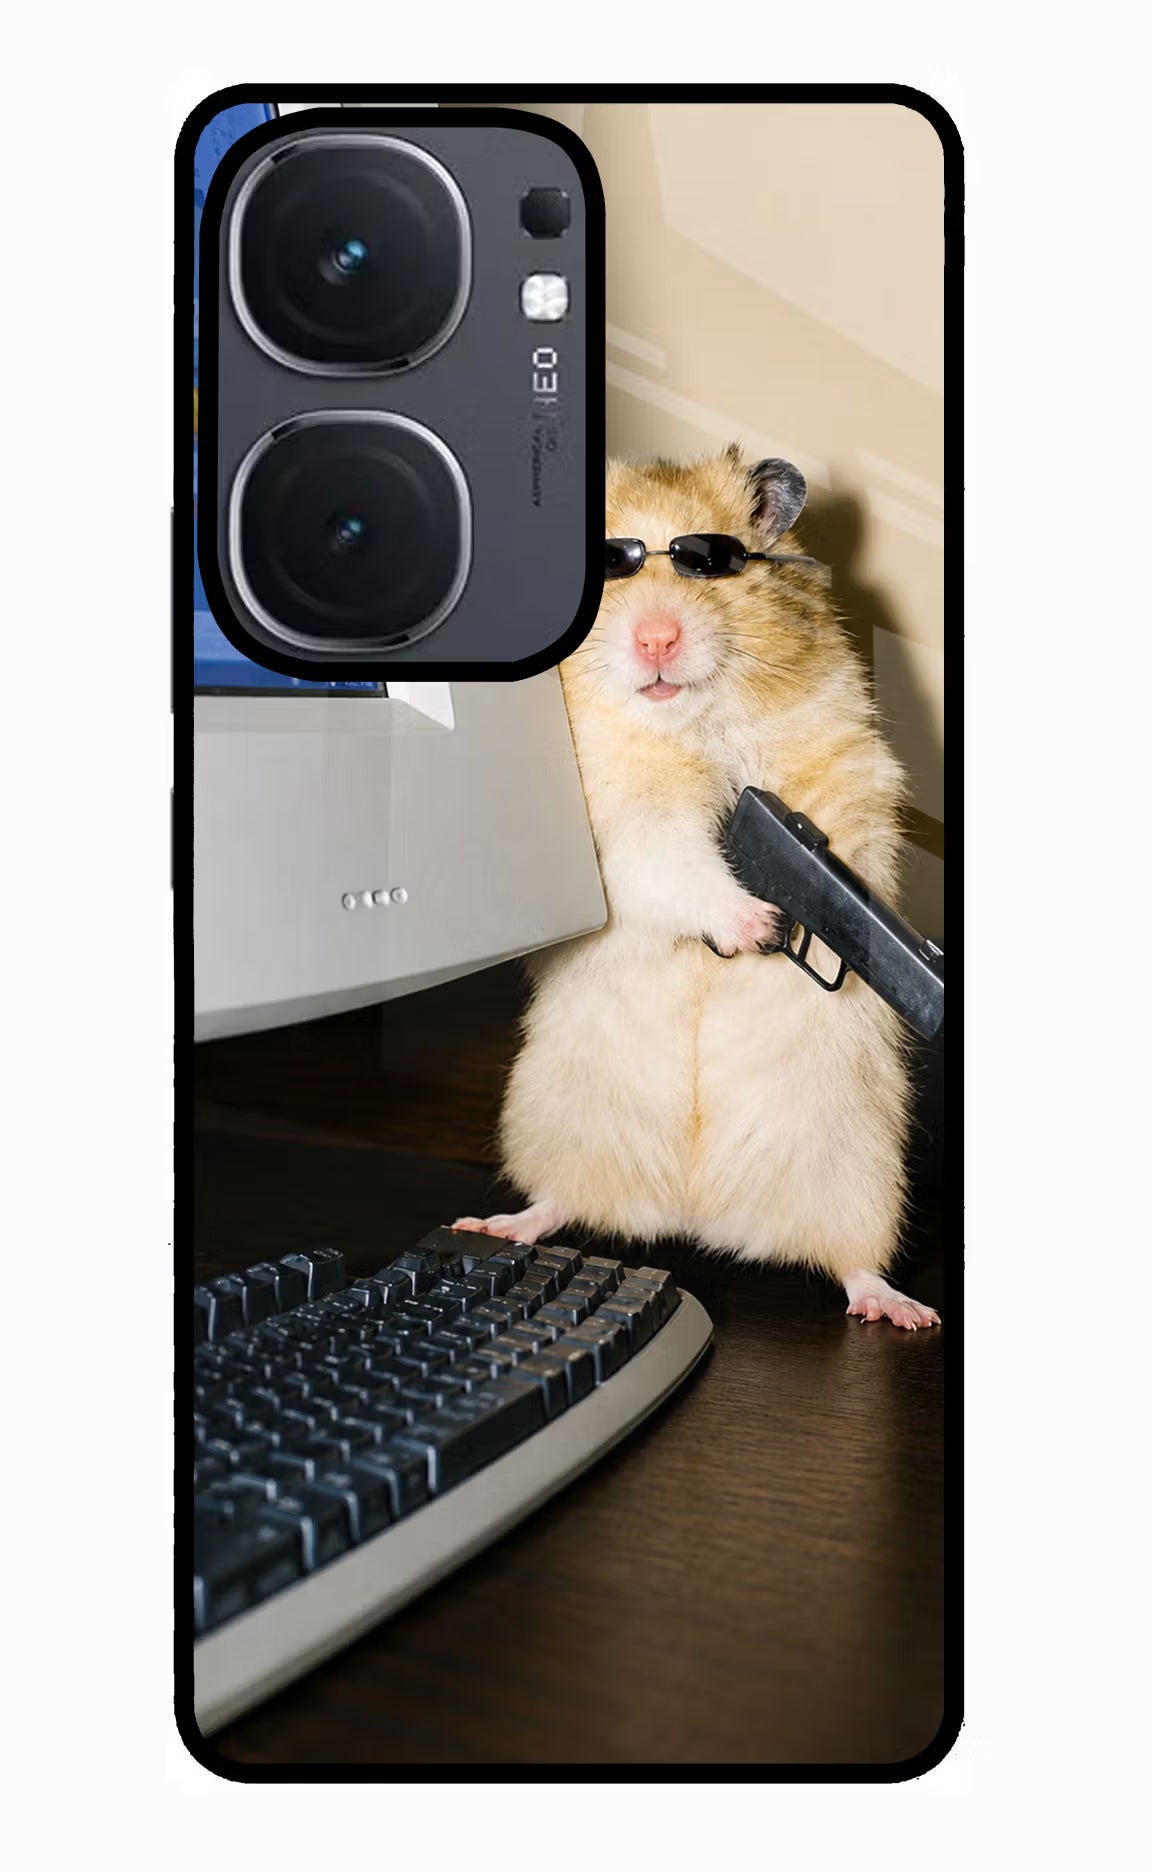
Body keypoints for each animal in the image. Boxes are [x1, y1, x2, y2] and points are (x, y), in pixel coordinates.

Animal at [457, 447, 939, 1329]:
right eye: (609, 567)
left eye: (709, 563)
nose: (657, 638)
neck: (689, 723)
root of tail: (694, 1212)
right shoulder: (621, 821)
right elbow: (676, 862)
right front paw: (756, 925)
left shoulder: (841, 764)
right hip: (556, 1119)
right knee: (560, 1200)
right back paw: (498, 1223)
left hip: (857, 1169)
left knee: (852, 1261)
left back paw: (901, 1310)